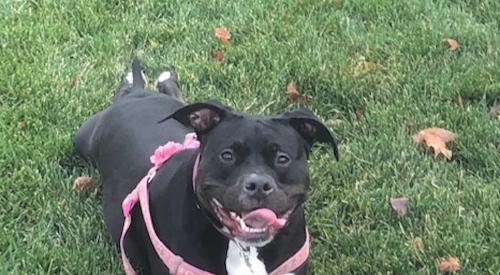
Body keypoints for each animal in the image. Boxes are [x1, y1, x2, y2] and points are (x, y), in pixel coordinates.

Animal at [75, 59, 340, 274]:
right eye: (227, 155)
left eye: (282, 158)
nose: (258, 184)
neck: (243, 249)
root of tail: (138, 95)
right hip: (84, 139)